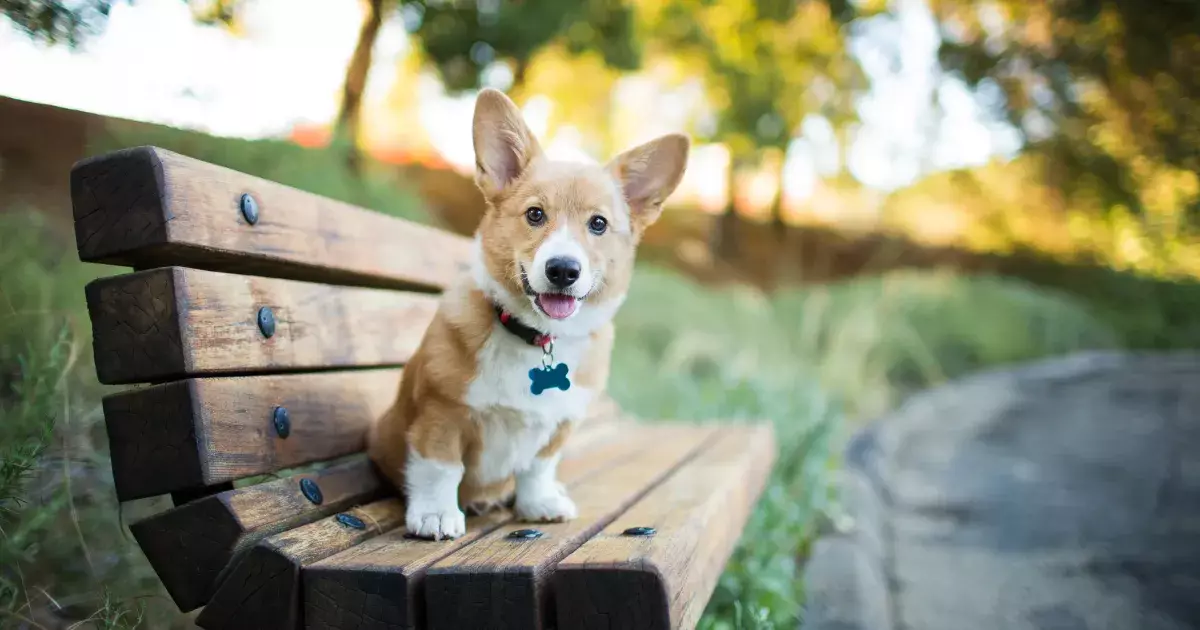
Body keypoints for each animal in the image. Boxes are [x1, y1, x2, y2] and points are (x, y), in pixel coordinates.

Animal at [364, 88, 691, 540]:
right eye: (535, 214)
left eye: (599, 224)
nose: (563, 270)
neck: (536, 337)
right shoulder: (441, 414)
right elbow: (441, 469)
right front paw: (435, 515)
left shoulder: (559, 424)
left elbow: (537, 468)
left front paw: (539, 503)